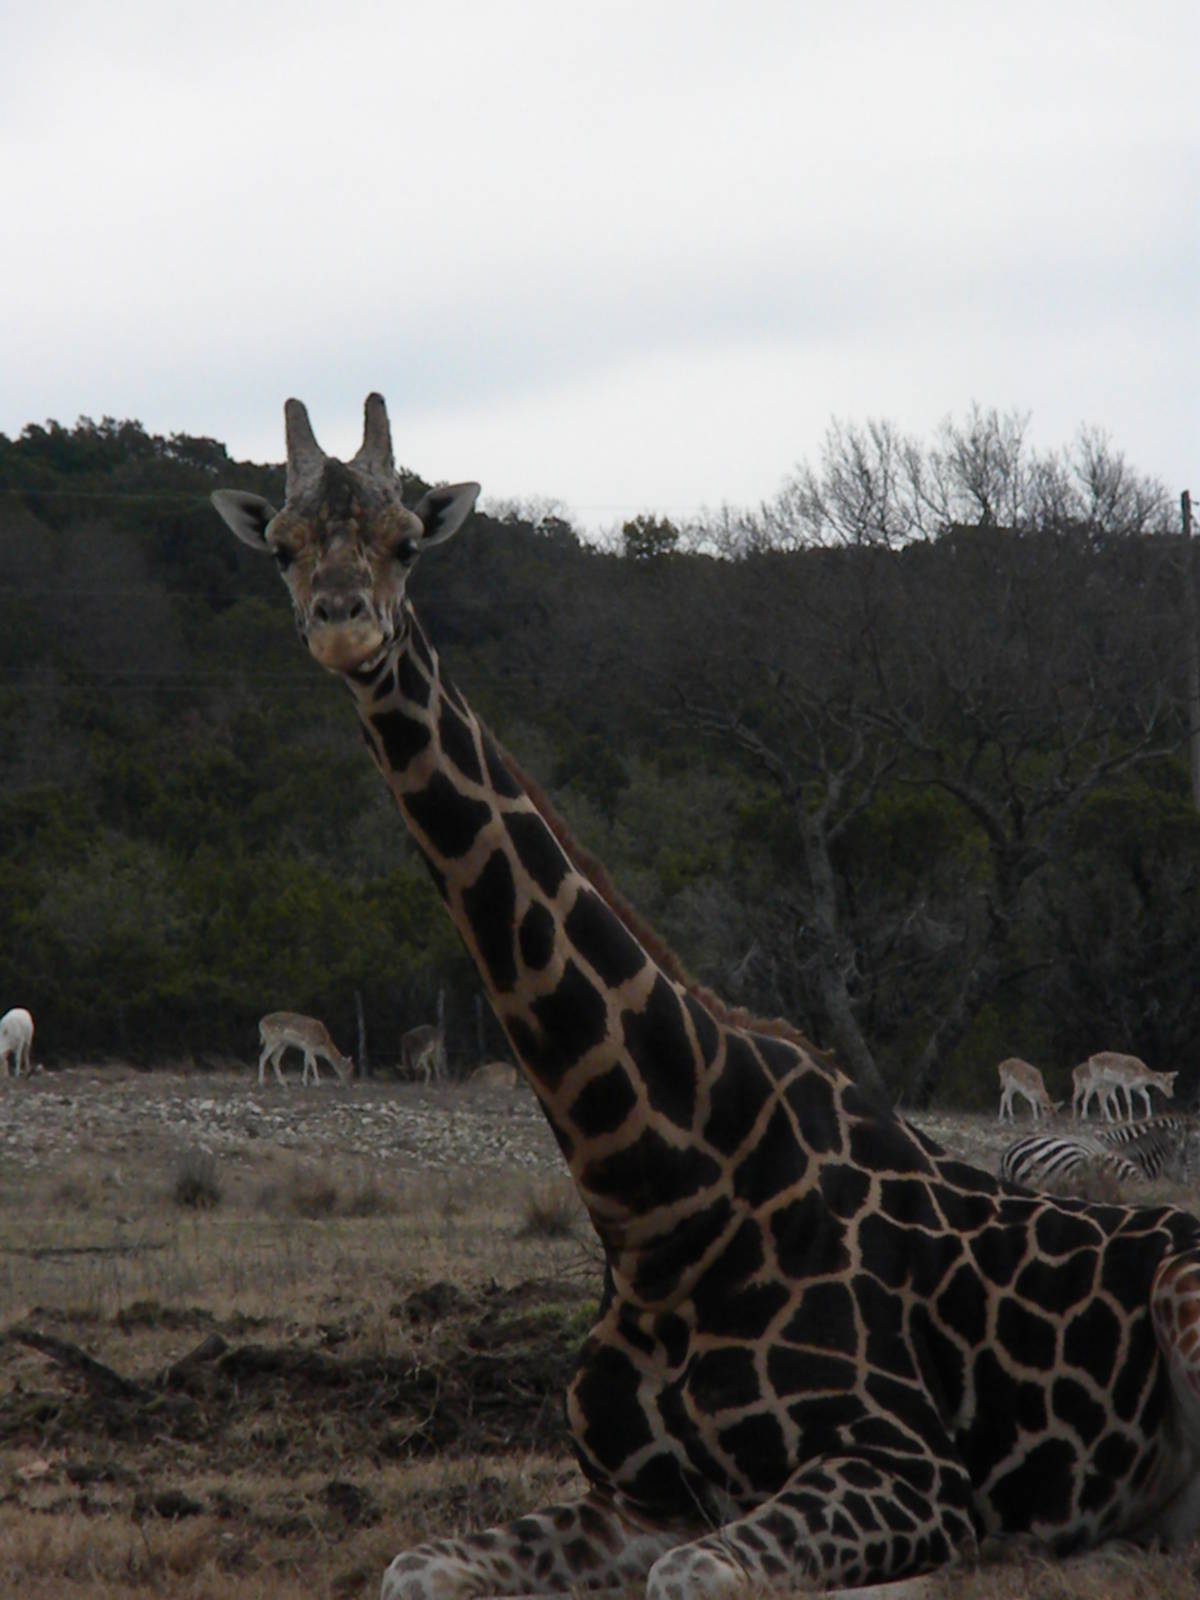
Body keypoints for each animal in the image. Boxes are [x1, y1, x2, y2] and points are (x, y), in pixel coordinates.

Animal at [213, 396, 1200, 1599]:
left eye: (406, 541)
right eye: (283, 547)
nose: (343, 623)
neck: (657, 1195)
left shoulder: (906, 1467)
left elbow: (700, 1575)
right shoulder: (636, 1494)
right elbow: (413, 1567)